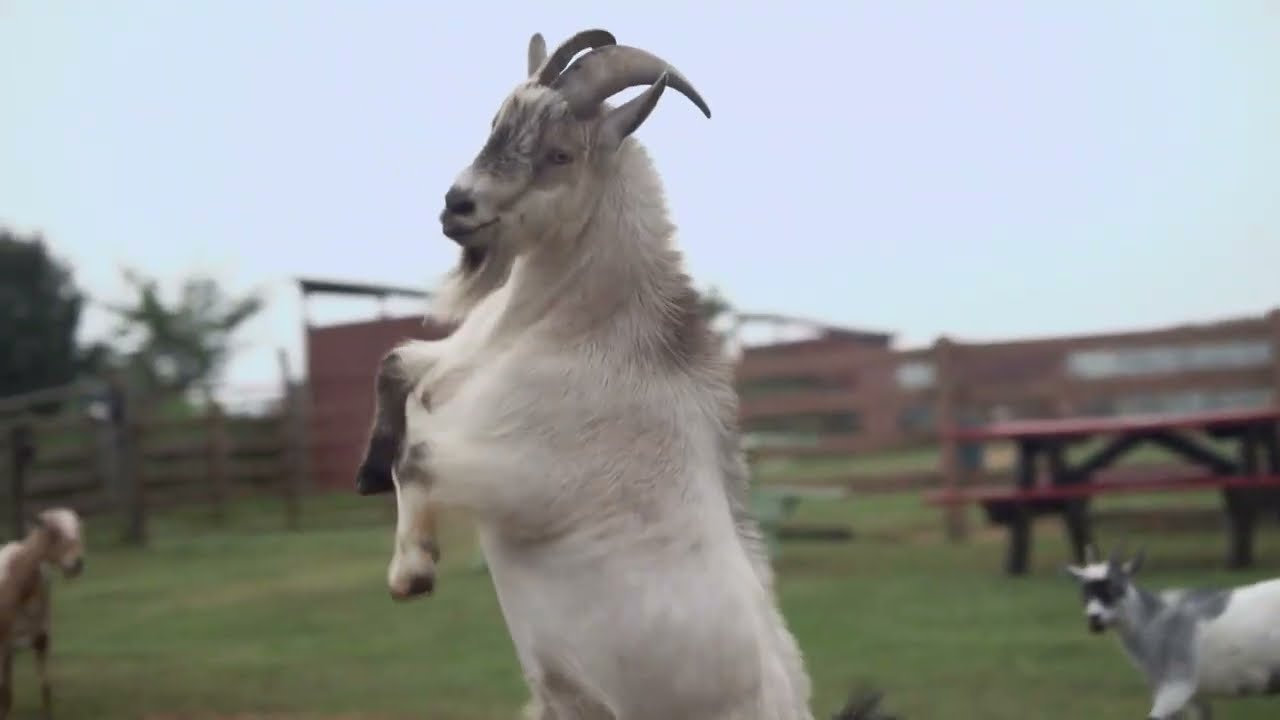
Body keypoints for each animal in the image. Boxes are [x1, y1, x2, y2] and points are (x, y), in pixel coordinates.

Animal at [0, 508, 85, 720]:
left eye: (79, 530)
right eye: (52, 531)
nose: (77, 562)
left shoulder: (41, 638)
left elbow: (45, 689)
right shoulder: (2, 644)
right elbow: (4, 693)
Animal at [357, 28, 814, 719]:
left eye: (561, 153)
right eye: (495, 123)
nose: (457, 205)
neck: (577, 327)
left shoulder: (525, 477)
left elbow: (415, 455)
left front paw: (413, 572)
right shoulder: (460, 367)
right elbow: (396, 370)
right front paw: (367, 478)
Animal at [1066, 544, 1280, 719]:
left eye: (1116, 588)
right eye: (1084, 592)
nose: (1094, 620)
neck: (1155, 621)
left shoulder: (1177, 685)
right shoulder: (1195, 697)